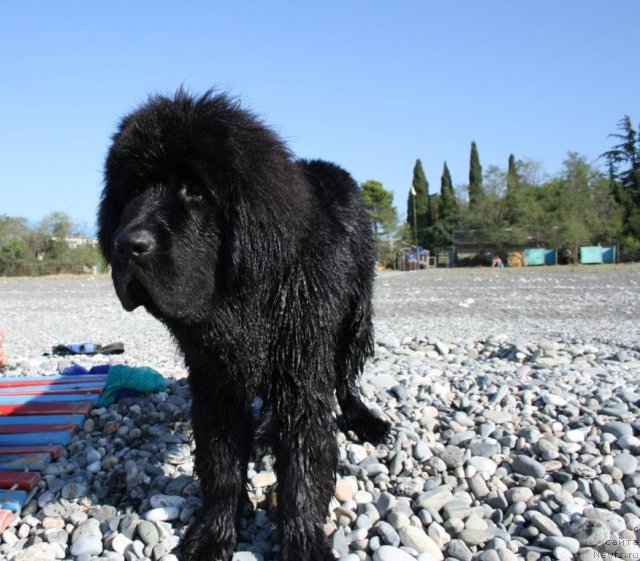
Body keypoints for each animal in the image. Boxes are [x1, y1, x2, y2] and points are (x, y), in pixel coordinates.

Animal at [99, 92, 390, 560]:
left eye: (195, 190)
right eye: (133, 190)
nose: (127, 244)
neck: (245, 301)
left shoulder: (303, 366)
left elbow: (303, 465)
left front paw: (303, 542)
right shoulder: (214, 378)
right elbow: (221, 464)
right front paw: (213, 534)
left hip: (355, 316)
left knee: (345, 376)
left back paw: (364, 419)